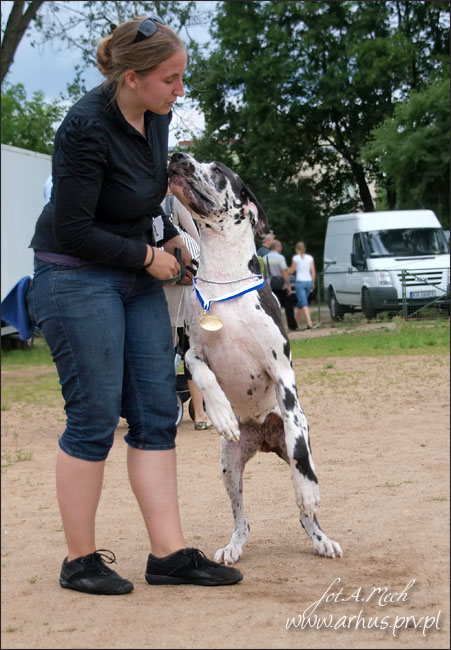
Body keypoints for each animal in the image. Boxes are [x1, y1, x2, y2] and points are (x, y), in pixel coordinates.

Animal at [168, 152, 342, 565]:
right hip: (229, 468)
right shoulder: (192, 352)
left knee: (304, 500)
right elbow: (205, 377)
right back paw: (233, 546)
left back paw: (321, 537)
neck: (226, 284)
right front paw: (221, 414)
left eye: (217, 170)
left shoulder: (281, 372)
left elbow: (299, 448)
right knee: (242, 520)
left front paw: (309, 494)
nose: (178, 156)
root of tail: (263, 437)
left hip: (290, 447)